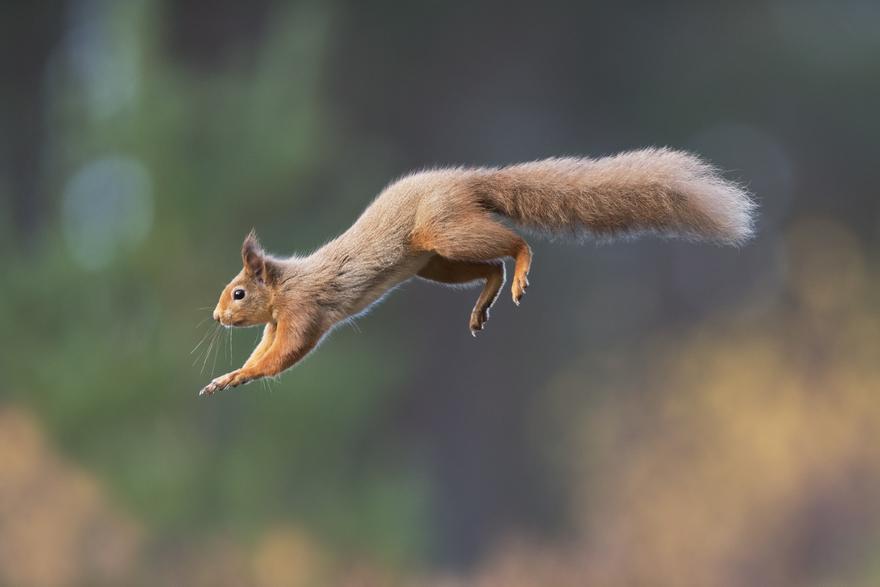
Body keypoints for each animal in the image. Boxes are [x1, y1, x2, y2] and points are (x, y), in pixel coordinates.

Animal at [199, 147, 755, 396]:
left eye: (239, 293)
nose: (216, 316)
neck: (285, 284)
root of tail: (467, 182)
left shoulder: (303, 312)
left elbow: (285, 355)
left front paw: (237, 376)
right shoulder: (277, 321)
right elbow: (265, 351)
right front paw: (229, 374)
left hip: (443, 234)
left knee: (513, 245)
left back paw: (521, 270)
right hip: (437, 262)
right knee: (489, 267)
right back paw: (484, 302)